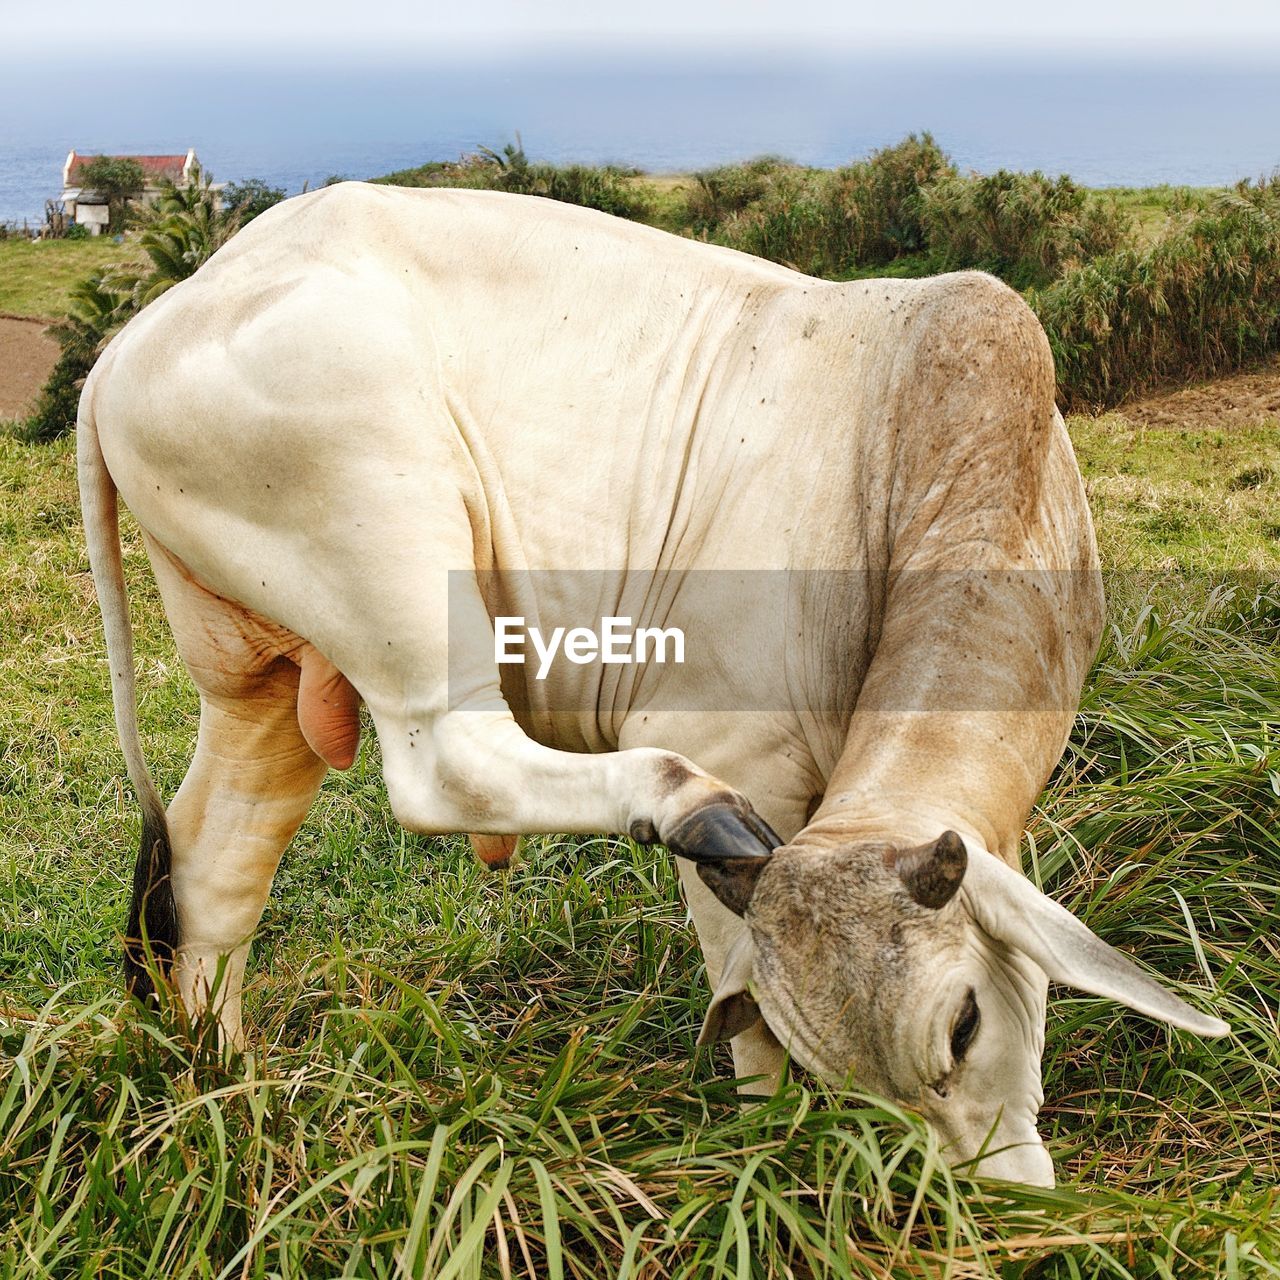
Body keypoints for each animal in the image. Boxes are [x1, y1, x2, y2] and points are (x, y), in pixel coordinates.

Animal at [80, 185, 1228, 1182]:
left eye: (966, 1021)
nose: (985, 1201)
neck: (922, 444)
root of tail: (139, 334)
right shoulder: (733, 742)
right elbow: (746, 1009)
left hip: (261, 679)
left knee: (213, 860)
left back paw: (227, 1088)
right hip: (396, 554)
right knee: (445, 762)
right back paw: (679, 804)